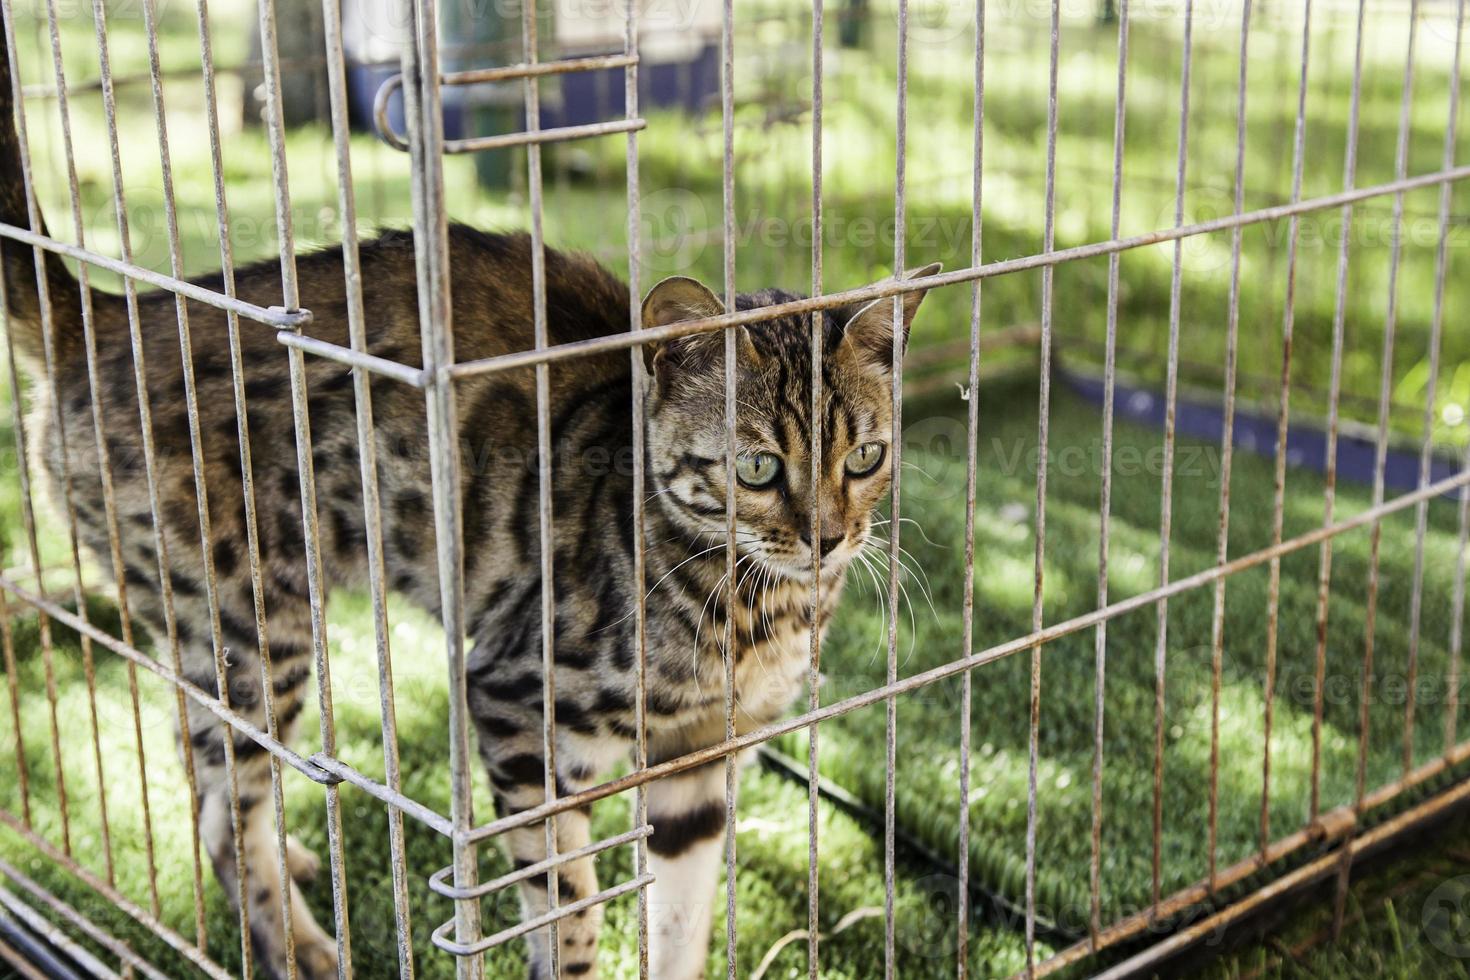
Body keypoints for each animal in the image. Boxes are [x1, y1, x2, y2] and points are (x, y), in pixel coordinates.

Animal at [0, 28, 940, 980]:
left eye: (865, 456)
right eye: (755, 467)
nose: (828, 539)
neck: (754, 608)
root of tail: (104, 318)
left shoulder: (701, 756)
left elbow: (680, 919)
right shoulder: (514, 702)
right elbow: (566, 910)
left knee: (205, 775)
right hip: (253, 627)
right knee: (227, 810)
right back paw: (304, 945)